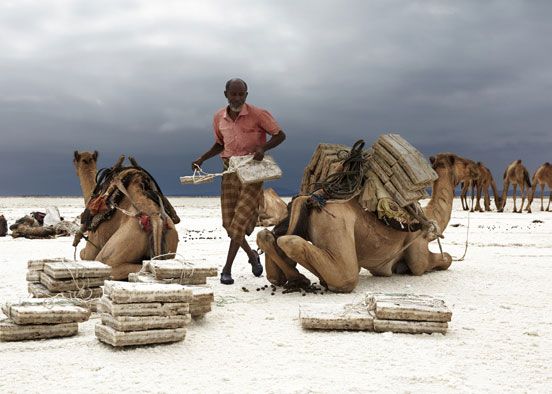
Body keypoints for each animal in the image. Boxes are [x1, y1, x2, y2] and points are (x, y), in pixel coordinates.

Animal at [73, 151, 179, 280]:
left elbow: (82, 254)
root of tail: (155, 219)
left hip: (117, 249)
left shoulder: (93, 242)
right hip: (170, 242)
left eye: (74, 160)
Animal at [256, 152, 460, 294]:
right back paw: (306, 279)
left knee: (267, 238)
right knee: (345, 276)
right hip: (336, 225)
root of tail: (309, 199)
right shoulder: (417, 247)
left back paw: (297, 278)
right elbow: (444, 259)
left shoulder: (382, 268)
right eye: (460, 162)